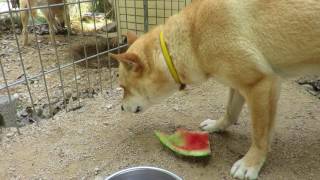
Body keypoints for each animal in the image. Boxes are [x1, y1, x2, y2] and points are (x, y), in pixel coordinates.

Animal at [109, 0, 318, 179]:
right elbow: (230, 112)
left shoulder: (260, 83)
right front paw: (217, 126)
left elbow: (260, 135)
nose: (121, 108)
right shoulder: (239, 84)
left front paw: (251, 163)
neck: (193, 37)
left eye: (124, 87)